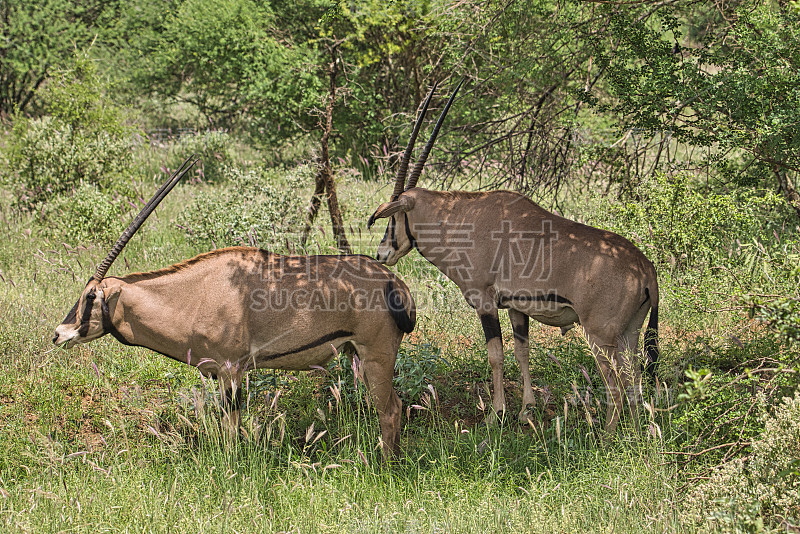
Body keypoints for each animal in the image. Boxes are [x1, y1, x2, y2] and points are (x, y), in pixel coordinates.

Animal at [54, 157, 418, 458]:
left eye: (91, 296)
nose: (59, 333)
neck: (192, 295)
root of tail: (393, 281)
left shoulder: (231, 370)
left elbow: (231, 428)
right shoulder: (220, 373)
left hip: (376, 354)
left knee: (390, 409)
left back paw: (386, 466)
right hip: (357, 354)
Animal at [368, 82, 656, 436]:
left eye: (394, 217)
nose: (382, 253)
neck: (461, 218)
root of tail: (645, 269)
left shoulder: (484, 302)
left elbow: (496, 355)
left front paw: (497, 414)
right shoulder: (518, 307)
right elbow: (522, 352)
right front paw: (526, 410)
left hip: (600, 337)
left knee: (615, 384)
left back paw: (607, 436)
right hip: (630, 334)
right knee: (634, 379)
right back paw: (636, 433)